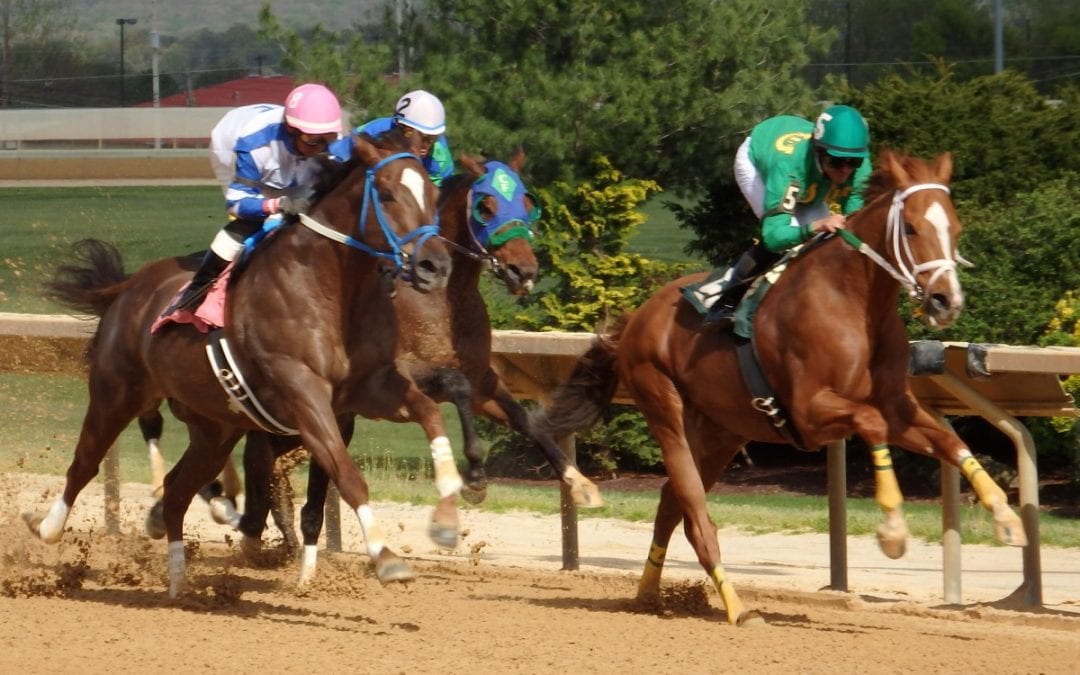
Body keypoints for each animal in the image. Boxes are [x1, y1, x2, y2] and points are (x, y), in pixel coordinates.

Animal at [24, 131, 458, 597]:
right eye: (388, 193)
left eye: (435, 196)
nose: (434, 266)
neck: (327, 289)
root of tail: (126, 288)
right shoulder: (304, 395)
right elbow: (346, 472)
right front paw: (386, 556)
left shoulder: (367, 389)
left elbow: (430, 414)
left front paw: (447, 518)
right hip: (115, 392)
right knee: (84, 463)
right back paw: (46, 528)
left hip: (215, 429)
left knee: (176, 491)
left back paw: (179, 582)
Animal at [235, 150, 603, 585]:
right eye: (485, 206)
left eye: (528, 202)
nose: (523, 271)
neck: (443, 299)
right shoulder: (405, 378)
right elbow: (456, 388)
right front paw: (475, 477)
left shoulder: (482, 381)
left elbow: (525, 419)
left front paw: (579, 483)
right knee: (263, 460)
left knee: (281, 466)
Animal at [528, 150, 1027, 626]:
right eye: (910, 227)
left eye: (955, 227)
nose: (947, 301)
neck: (852, 300)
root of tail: (637, 317)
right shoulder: (811, 412)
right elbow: (870, 424)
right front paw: (892, 531)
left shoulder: (896, 407)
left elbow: (949, 441)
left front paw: (1007, 518)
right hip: (664, 407)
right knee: (696, 517)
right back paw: (738, 609)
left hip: (721, 432)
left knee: (672, 504)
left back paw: (648, 594)